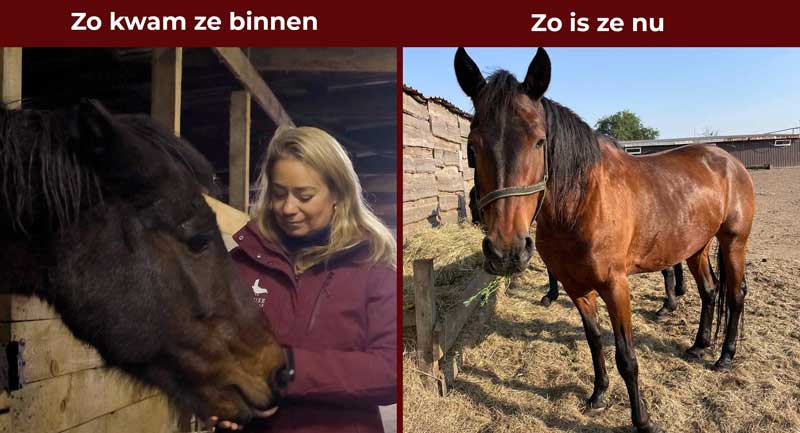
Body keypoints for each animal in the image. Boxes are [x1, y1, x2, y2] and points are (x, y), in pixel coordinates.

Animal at [455, 47, 755, 433]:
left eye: (539, 140)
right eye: (472, 146)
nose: (506, 251)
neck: (582, 203)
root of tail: (727, 159)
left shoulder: (616, 286)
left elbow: (626, 356)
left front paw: (642, 420)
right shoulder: (576, 287)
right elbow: (595, 341)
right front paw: (598, 395)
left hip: (733, 243)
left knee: (735, 296)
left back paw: (725, 356)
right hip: (696, 248)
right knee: (710, 291)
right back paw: (699, 345)